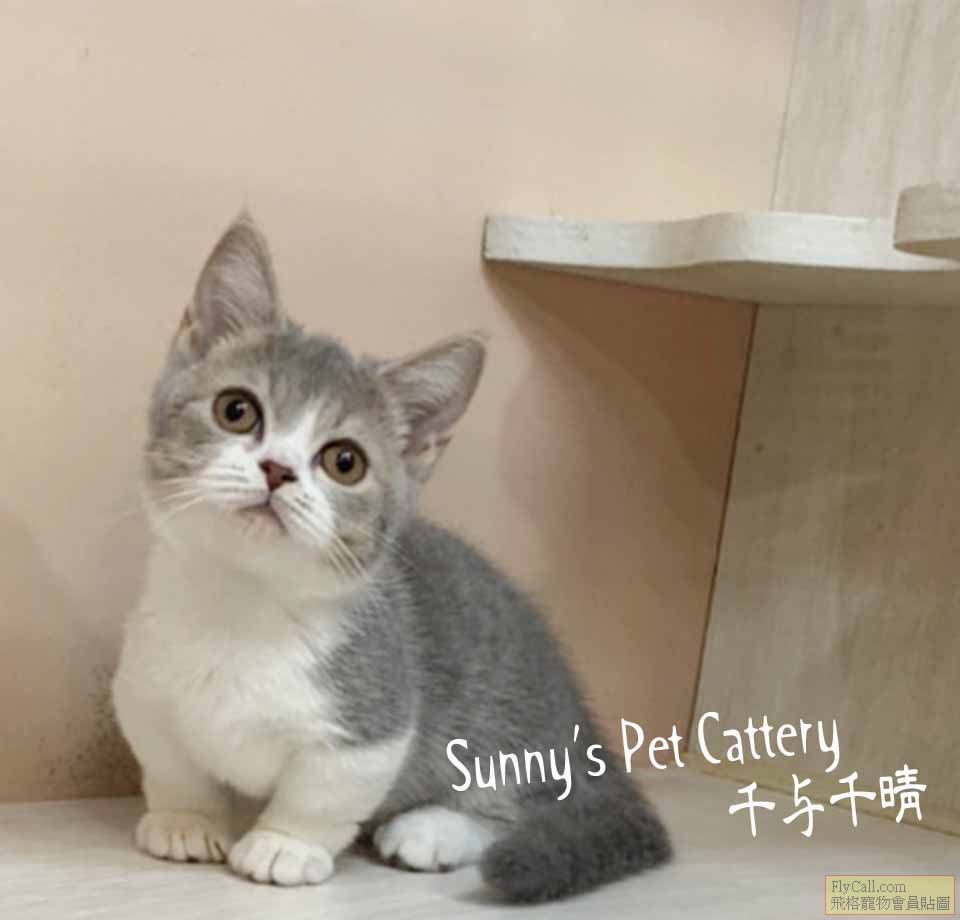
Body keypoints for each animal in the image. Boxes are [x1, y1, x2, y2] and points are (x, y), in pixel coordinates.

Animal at [111, 213, 671, 902]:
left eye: (344, 461)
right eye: (235, 410)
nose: (277, 469)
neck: (242, 609)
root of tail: (581, 725)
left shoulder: (373, 716)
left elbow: (322, 791)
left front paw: (283, 844)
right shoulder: (143, 687)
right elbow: (171, 762)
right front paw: (185, 820)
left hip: (504, 723)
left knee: (522, 805)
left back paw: (431, 830)